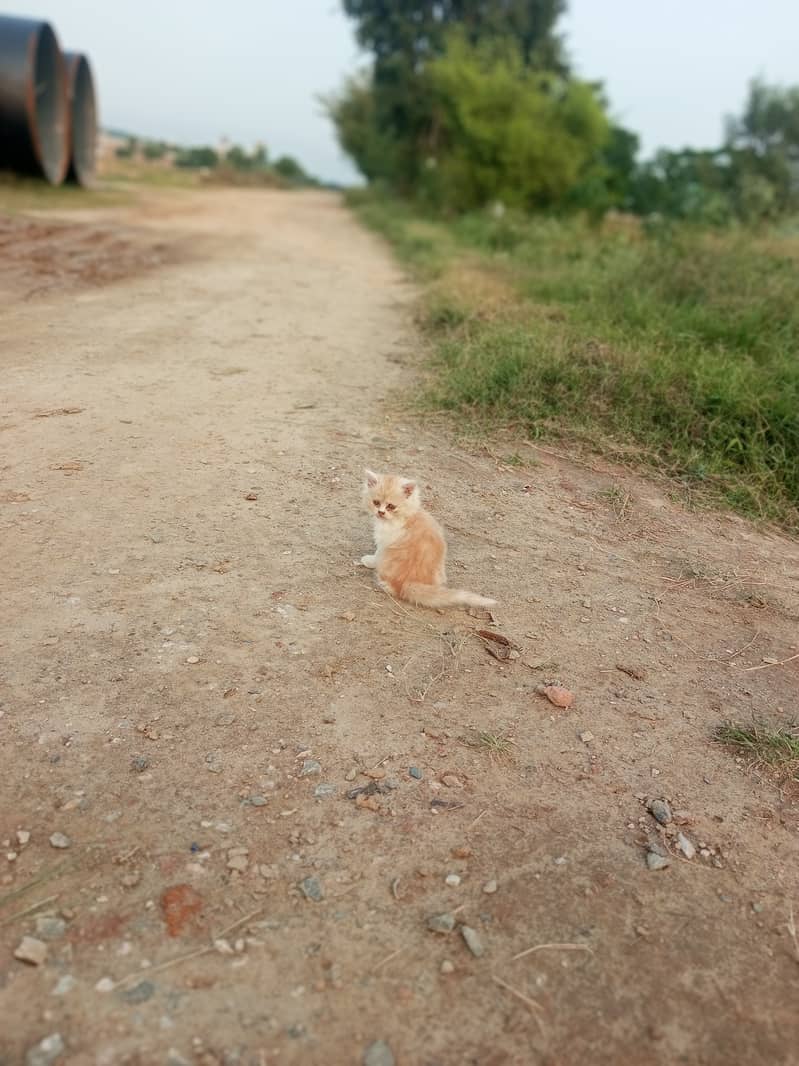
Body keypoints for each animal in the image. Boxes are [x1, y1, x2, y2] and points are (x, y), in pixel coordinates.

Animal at [360, 466, 498, 609]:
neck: (407, 515)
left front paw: (368, 561)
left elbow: (377, 554)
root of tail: (409, 582)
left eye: (391, 506)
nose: (380, 512)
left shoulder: (384, 542)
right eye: (376, 503)